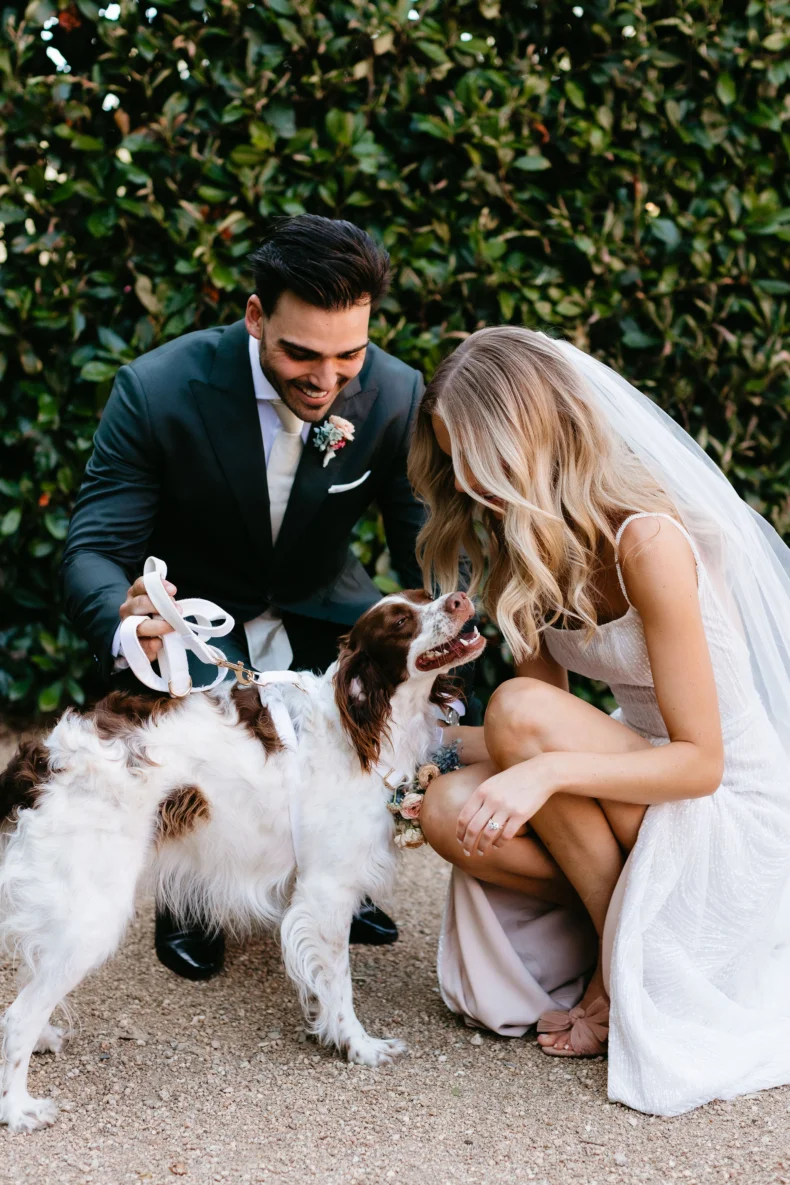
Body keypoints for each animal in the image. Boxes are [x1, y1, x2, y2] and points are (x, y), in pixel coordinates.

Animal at [0, 590, 484, 1132]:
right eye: (400, 621)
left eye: (426, 595)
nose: (460, 598)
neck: (363, 725)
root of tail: (44, 759)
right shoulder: (326, 890)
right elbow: (338, 984)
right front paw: (358, 1046)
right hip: (92, 914)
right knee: (19, 1014)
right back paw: (17, 1108)